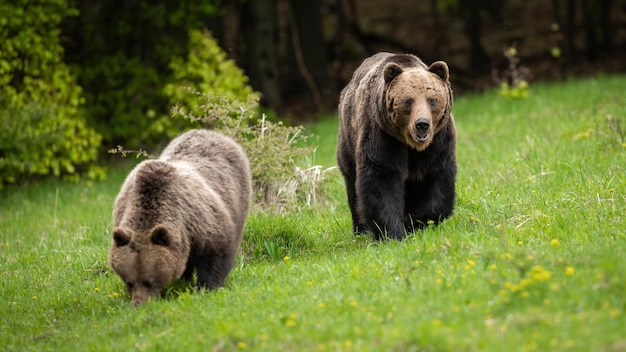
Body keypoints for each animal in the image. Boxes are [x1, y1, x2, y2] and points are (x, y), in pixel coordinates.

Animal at [108, 128, 252, 304]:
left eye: (149, 281)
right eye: (129, 281)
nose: (138, 303)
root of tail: (209, 132)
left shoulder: (202, 222)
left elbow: (216, 254)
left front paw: (207, 287)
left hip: (238, 196)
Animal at [336, 52, 454, 241]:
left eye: (432, 100)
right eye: (408, 100)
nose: (422, 124)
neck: (410, 144)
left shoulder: (438, 140)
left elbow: (437, 177)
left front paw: (417, 221)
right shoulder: (383, 136)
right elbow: (381, 178)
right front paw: (392, 233)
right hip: (348, 139)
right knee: (352, 182)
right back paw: (360, 229)